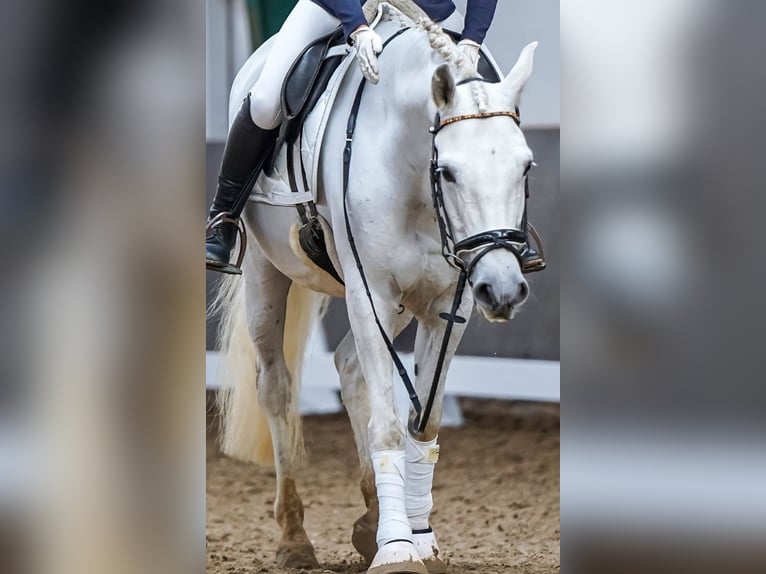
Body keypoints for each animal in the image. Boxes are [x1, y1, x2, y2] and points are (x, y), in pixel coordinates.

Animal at [211, 3, 539, 572]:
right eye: (448, 172)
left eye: (525, 166)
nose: (501, 290)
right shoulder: (371, 294)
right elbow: (388, 424)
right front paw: (397, 550)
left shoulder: (447, 304)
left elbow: (423, 424)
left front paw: (419, 536)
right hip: (264, 275)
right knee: (276, 386)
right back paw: (294, 538)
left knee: (350, 367)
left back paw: (370, 518)